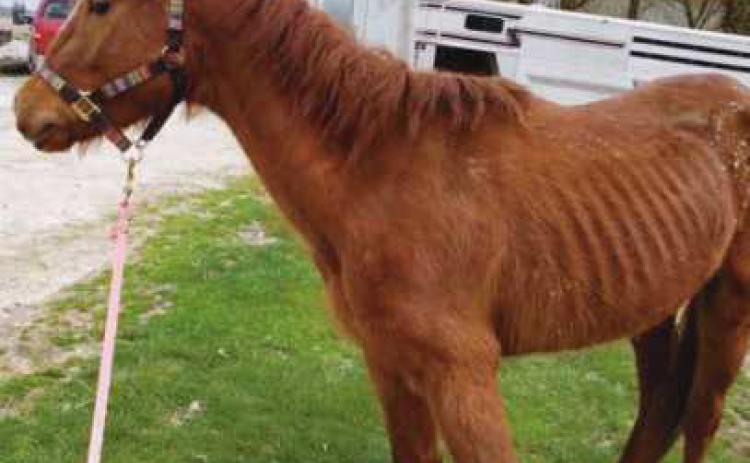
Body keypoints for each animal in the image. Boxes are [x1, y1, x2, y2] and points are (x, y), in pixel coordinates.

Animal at [12, 1, 750, 462]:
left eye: (101, 5)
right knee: (657, 411)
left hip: (727, 307)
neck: (380, 170)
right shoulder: (392, 364)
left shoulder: (464, 377)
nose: (27, 110)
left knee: (699, 419)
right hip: (652, 307)